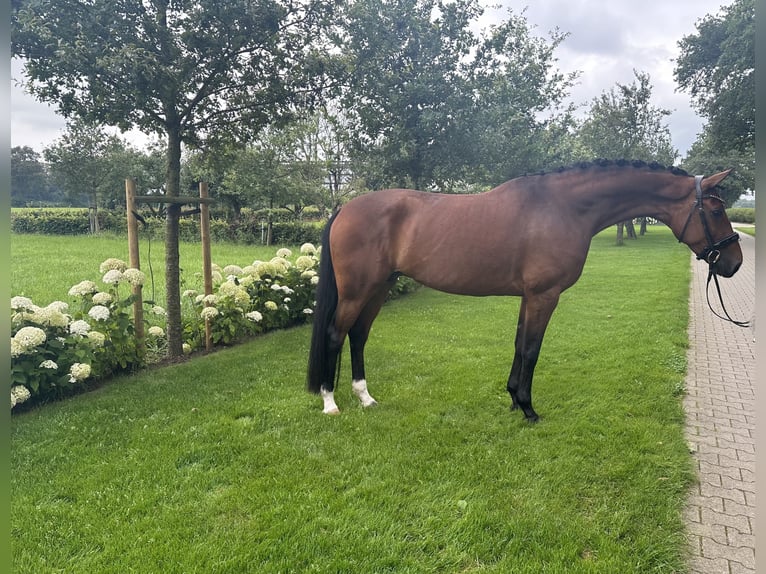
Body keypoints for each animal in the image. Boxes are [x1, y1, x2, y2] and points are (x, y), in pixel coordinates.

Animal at [306, 162, 744, 424]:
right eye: (716, 210)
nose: (734, 263)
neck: (564, 207)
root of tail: (344, 208)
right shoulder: (544, 295)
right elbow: (532, 349)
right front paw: (530, 410)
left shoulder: (527, 297)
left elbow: (519, 345)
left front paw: (514, 399)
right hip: (358, 291)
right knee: (336, 334)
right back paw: (330, 403)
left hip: (379, 288)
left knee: (358, 336)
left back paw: (366, 398)